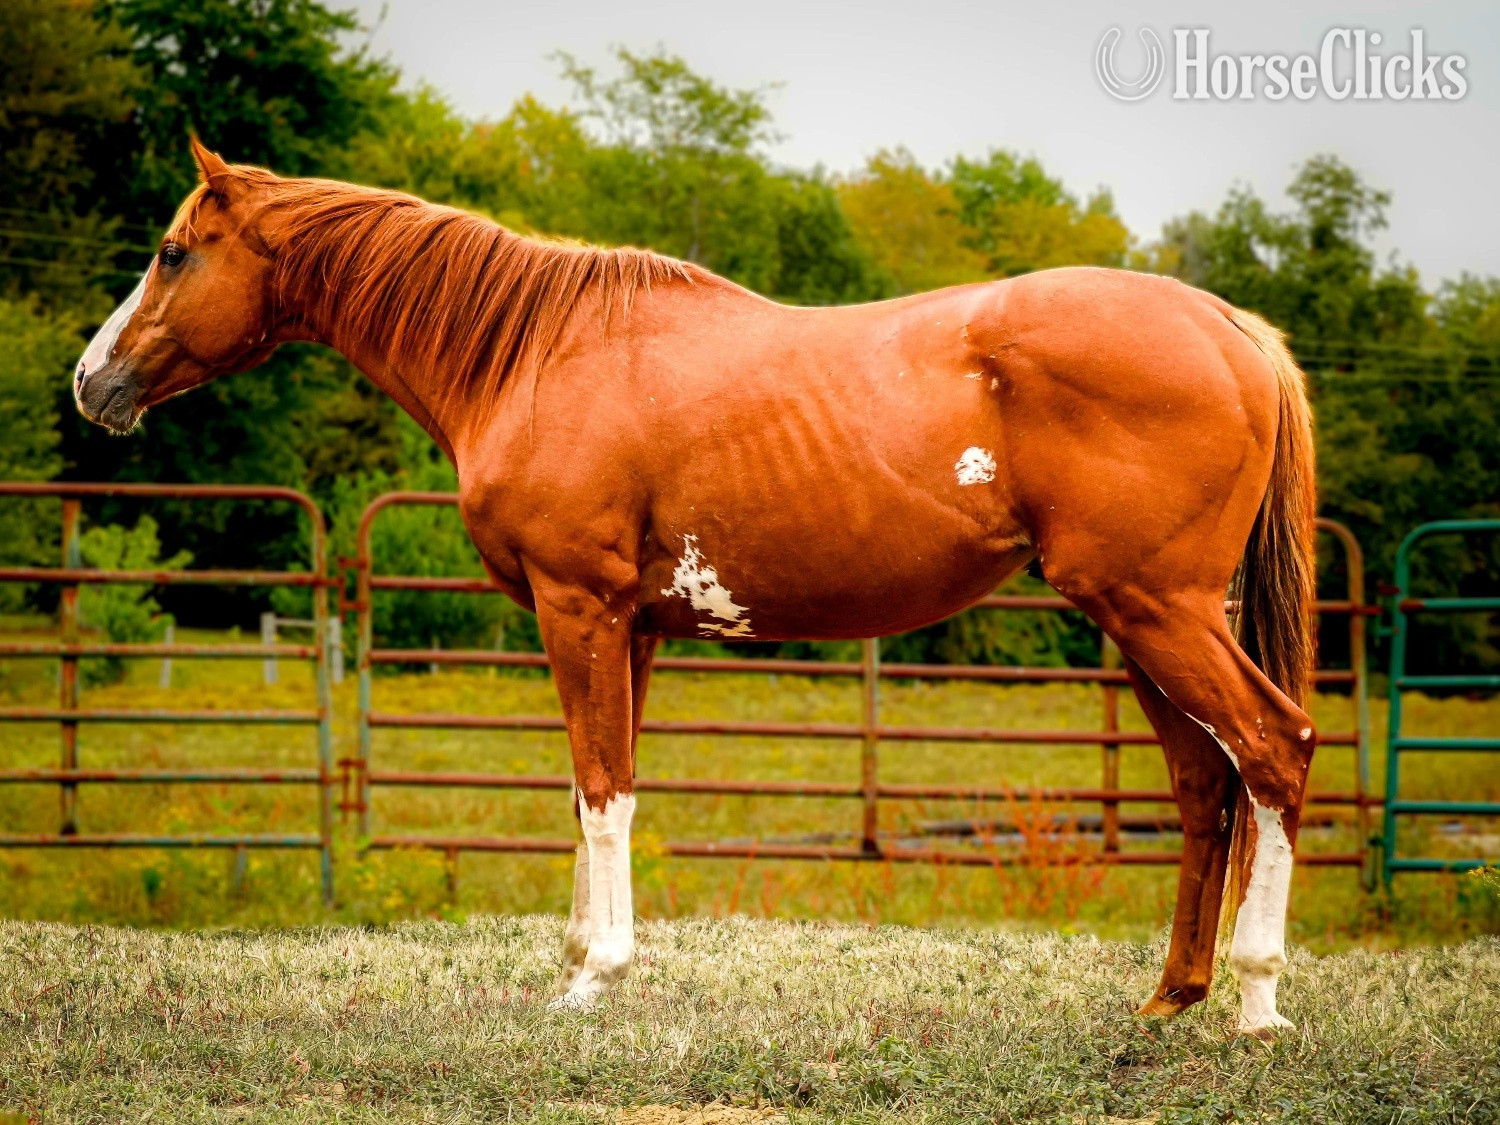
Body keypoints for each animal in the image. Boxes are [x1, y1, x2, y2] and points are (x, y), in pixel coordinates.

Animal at [75, 139, 1317, 1031]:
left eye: (174, 252)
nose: (93, 381)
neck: (537, 353)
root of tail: (1229, 327)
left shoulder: (579, 608)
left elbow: (601, 787)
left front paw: (596, 979)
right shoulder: (634, 629)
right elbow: (596, 791)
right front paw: (579, 961)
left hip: (1159, 614)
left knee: (1274, 750)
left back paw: (1256, 1004)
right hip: (1143, 621)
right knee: (1205, 788)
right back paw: (1170, 998)